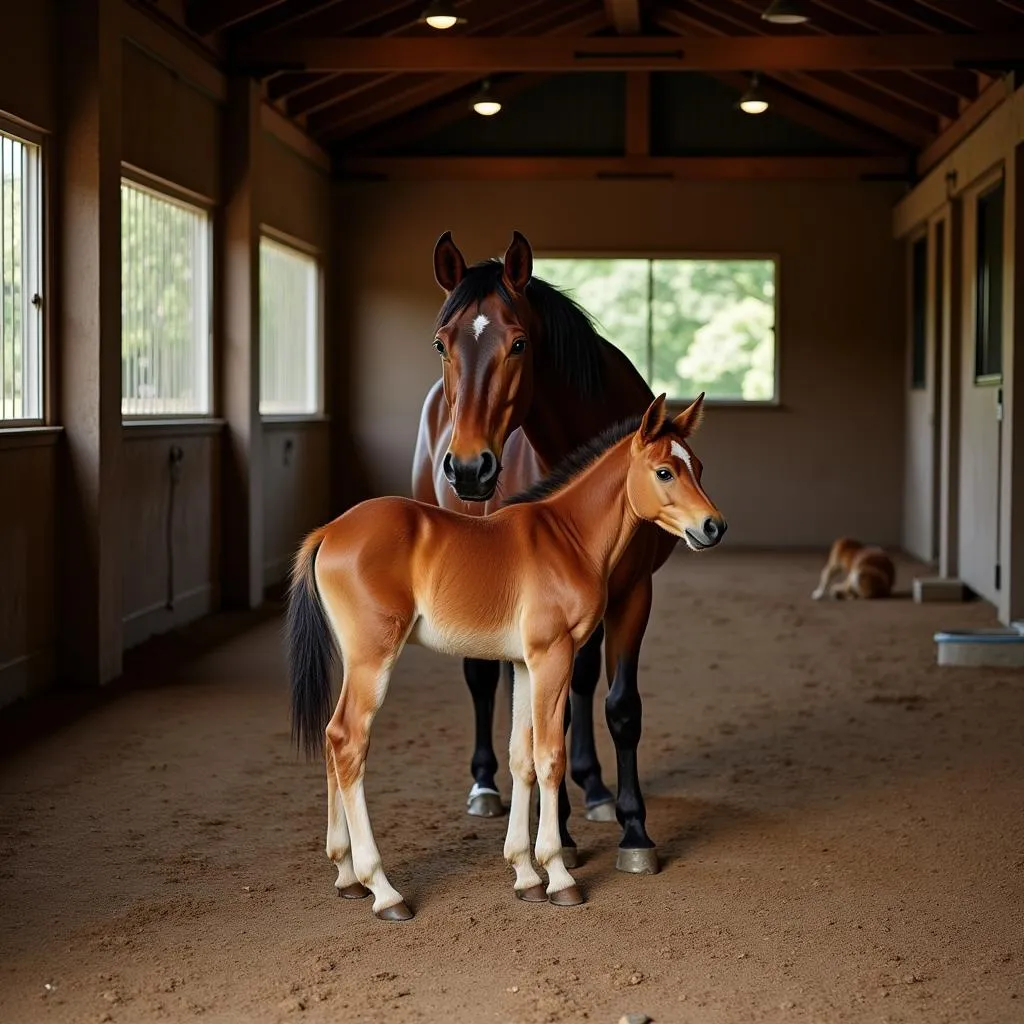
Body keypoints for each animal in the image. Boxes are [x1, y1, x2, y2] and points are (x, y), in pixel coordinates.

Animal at [284, 393, 724, 921]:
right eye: (664, 472)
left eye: (697, 466)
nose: (713, 527)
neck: (568, 538)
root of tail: (329, 530)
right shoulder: (553, 656)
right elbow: (550, 756)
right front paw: (558, 876)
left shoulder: (522, 665)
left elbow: (521, 759)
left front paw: (525, 874)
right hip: (374, 659)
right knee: (348, 740)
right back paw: (384, 890)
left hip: (356, 662)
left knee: (331, 739)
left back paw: (347, 875)